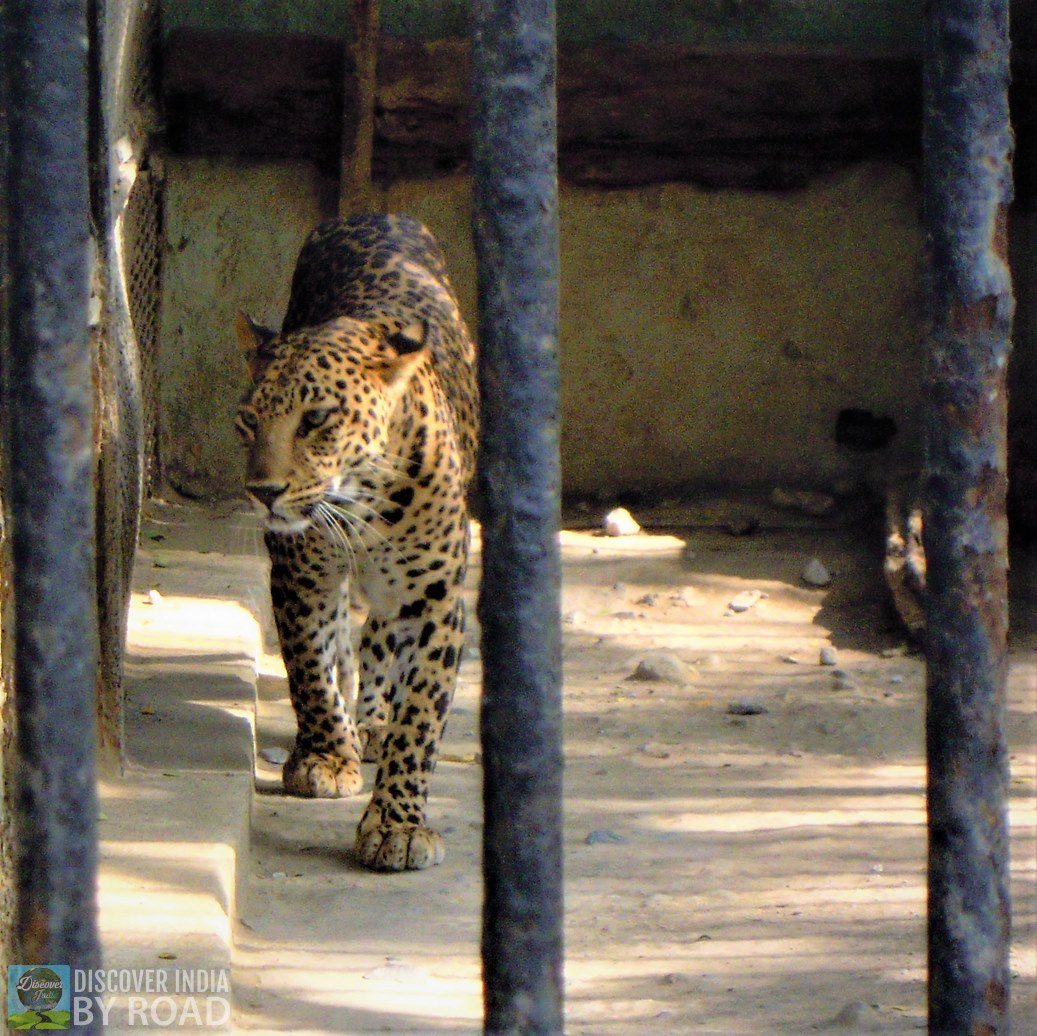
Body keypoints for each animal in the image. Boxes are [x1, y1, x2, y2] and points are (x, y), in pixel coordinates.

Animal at [235, 214, 477, 871]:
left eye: (317, 419)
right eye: (248, 421)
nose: (262, 492)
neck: (361, 500)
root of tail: (376, 215)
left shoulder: (435, 599)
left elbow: (420, 716)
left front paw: (398, 824)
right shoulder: (300, 572)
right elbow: (310, 667)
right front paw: (324, 755)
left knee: (377, 638)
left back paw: (372, 721)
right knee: (347, 637)